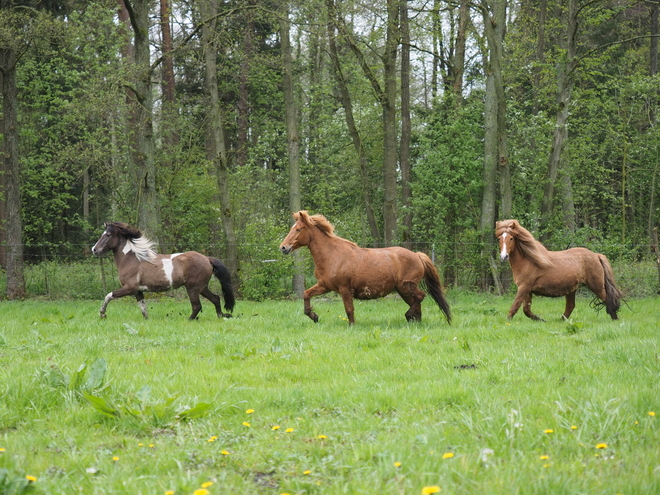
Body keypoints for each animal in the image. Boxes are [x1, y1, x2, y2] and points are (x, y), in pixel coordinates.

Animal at [90, 222, 235, 322]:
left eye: (108, 235)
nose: (94, 250)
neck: (131, 260)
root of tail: (207, 258)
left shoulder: (129, 288)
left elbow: (109, 295)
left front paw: (102, 314)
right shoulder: (138, 291)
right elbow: (143, 307)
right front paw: (147, 321)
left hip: (193, 288)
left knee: (197, 306)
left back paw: (189, 320)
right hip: (202, 287)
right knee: (215, 298)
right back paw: (221, 316)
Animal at [276, 212, 452, 326]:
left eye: (298, 229)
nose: (283, 247)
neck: (333, 255)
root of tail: (417, 255)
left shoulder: (344, 288)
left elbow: (349, 309)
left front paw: (352, 326)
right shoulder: (325, 285)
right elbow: (306, 294)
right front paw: (314, 316)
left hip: (406, 286)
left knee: (420, 297)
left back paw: (409, 317)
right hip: (403, 290)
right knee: (417, 302)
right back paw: (415, 322)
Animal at [496, 220, 624, 322]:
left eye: (511, 238)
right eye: (499, 238)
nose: (503, 256)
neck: (528, 260)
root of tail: (596, 255)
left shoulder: (524, 287)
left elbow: (514, 307)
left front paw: (507, 322)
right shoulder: (528, 291)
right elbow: (526, 310)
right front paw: (540, 319)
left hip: (596, 285)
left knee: (608, 299)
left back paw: (615, 318)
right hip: (571, 289)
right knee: (570, 306)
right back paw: (561, 320)